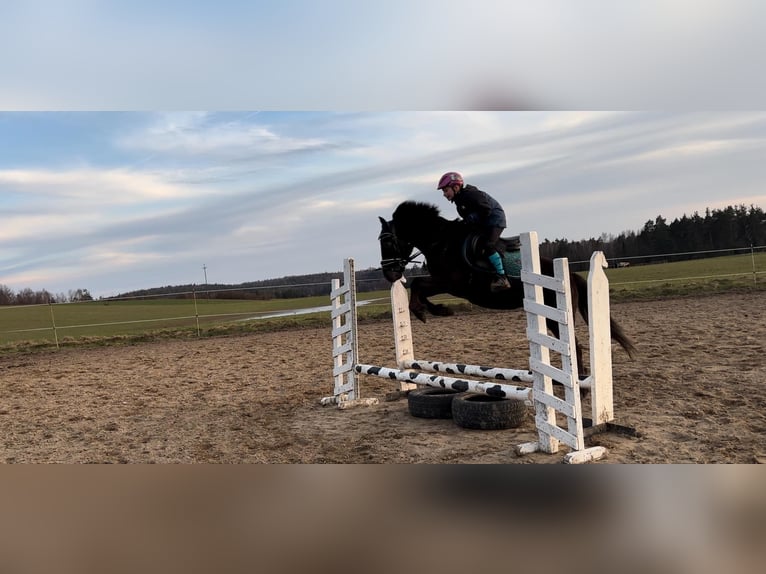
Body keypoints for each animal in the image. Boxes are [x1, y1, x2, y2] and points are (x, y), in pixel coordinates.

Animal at [378, 202, 636, 374]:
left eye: (388, 241)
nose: (389, 274)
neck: (440, 241)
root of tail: (570, 276)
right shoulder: (446, 283)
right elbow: (418, 287)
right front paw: (434, 310)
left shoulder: (452, 283)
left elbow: (418, 284)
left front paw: (430, 311)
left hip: (556, 317)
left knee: (576, 347)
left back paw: (580, 388)